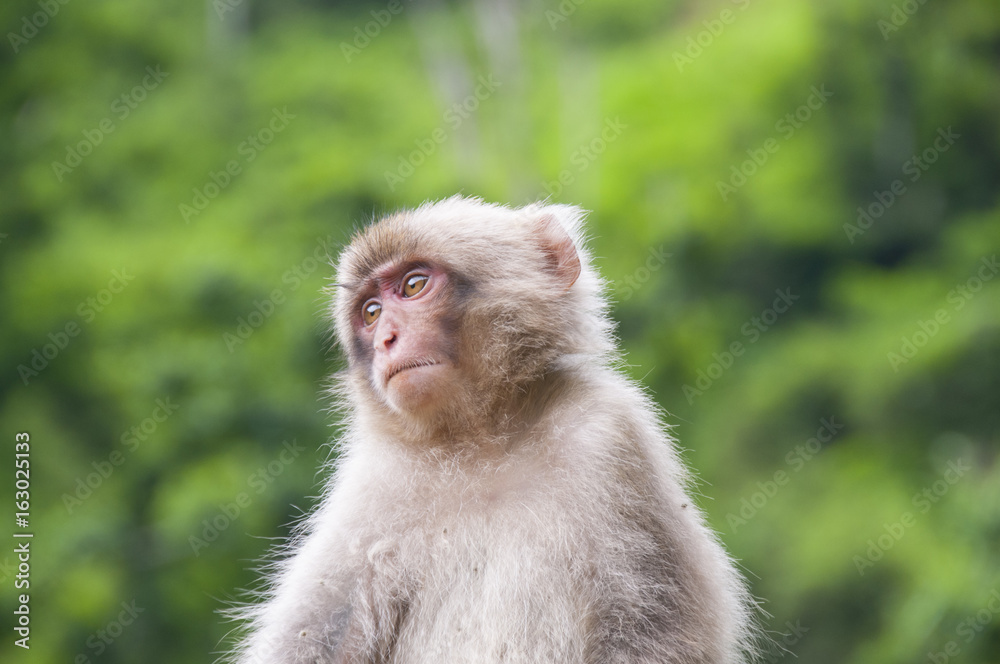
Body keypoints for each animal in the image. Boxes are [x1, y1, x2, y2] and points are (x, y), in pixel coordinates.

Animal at [229, 195, 756, 660]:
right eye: (371, 312)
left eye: (414, 285)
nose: (385, 340)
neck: (481, 444)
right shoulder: (372, 485)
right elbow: (315, 637)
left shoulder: (610, 434)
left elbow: (651, 627)